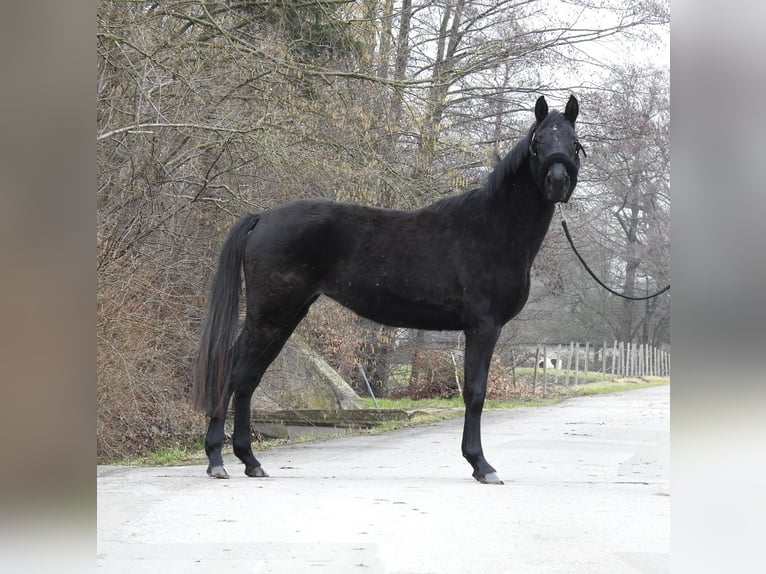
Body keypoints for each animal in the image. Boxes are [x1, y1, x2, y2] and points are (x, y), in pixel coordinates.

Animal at [192, 95, 583, 484]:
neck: (493, 227)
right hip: (270, 315)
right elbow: (475, 393)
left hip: (286, 317)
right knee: (234, 373)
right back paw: (217, 460)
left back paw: (250, 460)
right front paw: (481, 465)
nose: (558, 182)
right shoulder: (484, 326)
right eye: (537, 143)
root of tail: (262, 219)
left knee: (248, 378)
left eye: (574, 143)